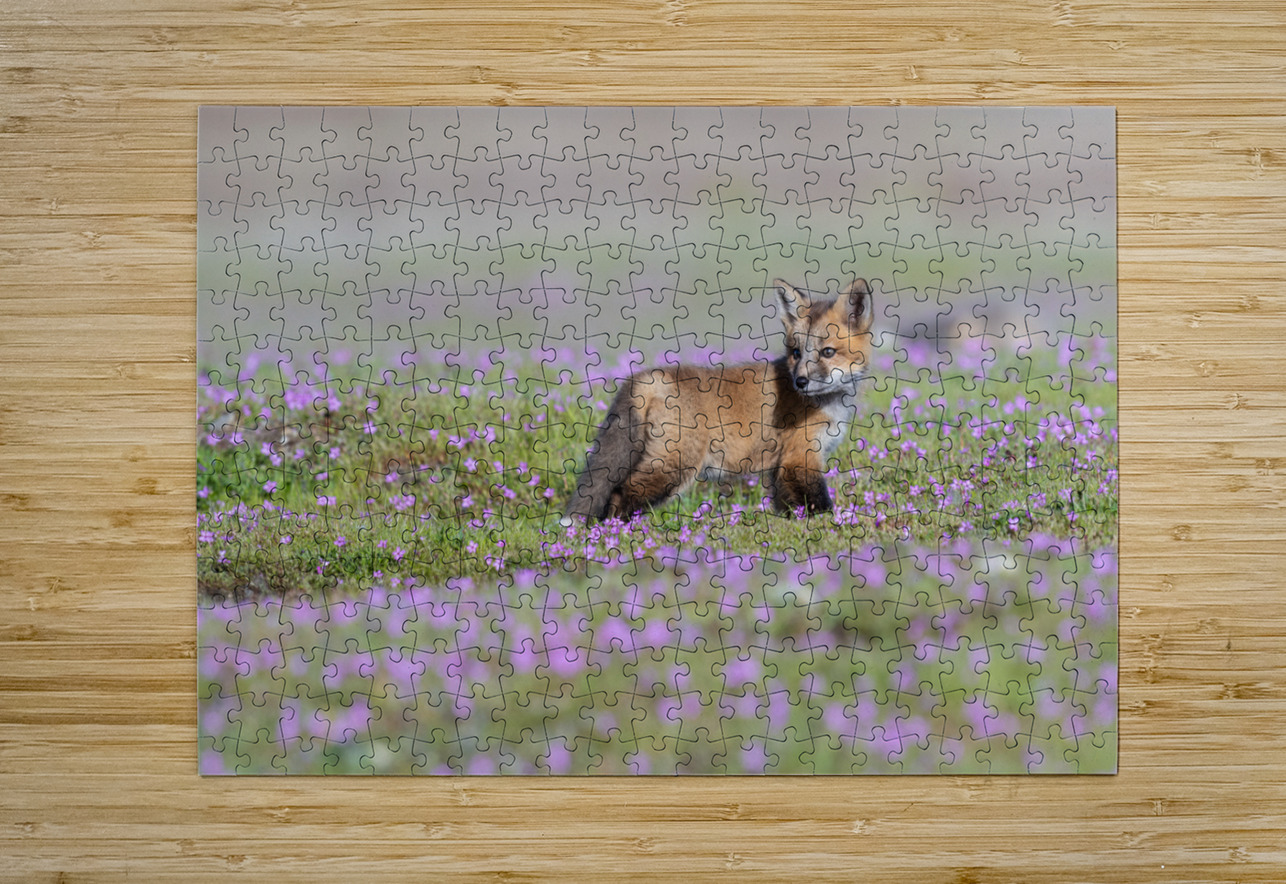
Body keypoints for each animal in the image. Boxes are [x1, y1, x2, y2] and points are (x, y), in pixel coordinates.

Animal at [565, 277, 875, 522]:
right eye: (797, 353)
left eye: (827, 352)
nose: (800, 382)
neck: (828, 405)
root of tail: (648, 376)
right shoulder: (800, 457)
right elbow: (819, 504)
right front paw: (830, 524)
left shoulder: (783, 465)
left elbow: (786, 508)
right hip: (673, 465)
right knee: (621, 494)